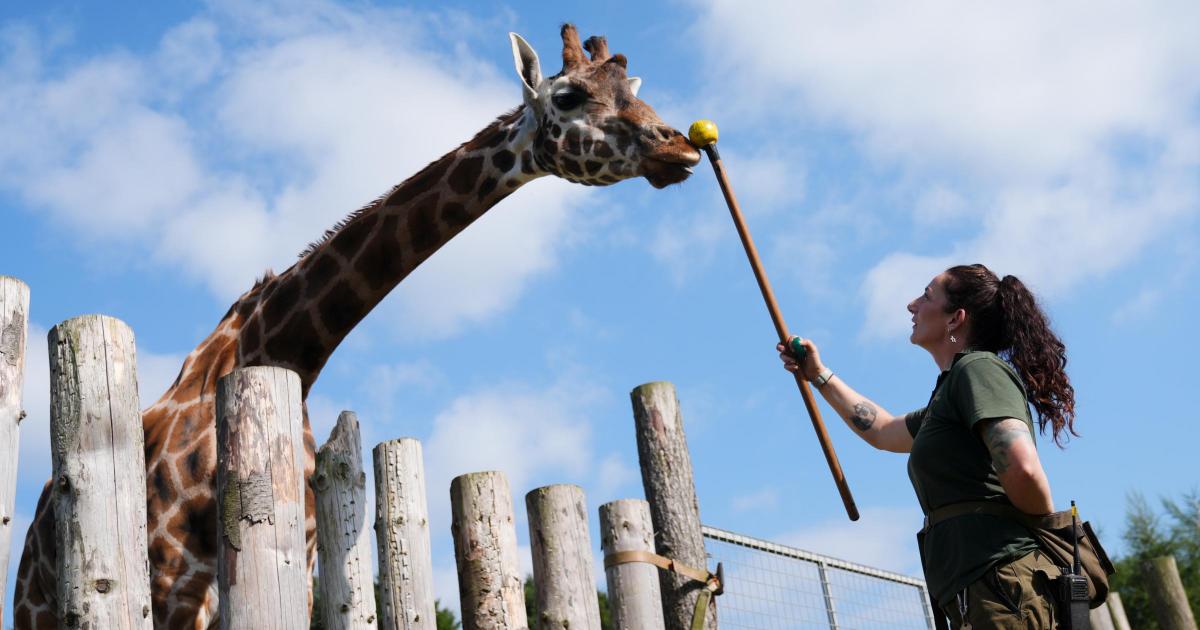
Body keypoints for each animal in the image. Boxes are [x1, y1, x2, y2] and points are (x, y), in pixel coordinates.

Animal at [10, 25, 699, 630]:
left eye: (630, 87)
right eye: (568, 95)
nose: (680, 147)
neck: (289, 352)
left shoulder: (285, 574)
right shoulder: (169, 582)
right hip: (45, 610)